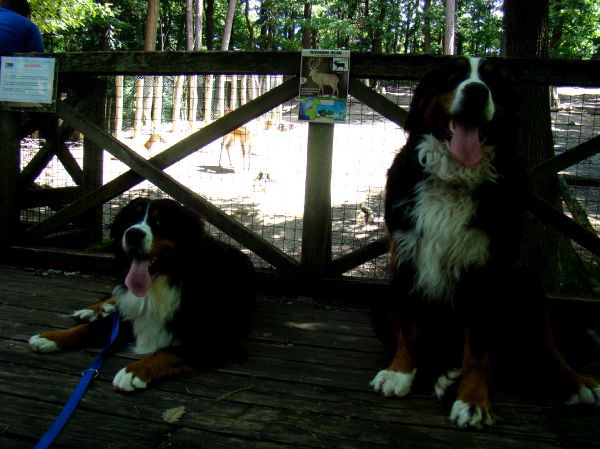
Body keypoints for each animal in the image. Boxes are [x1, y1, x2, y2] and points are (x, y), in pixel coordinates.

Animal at [29, 198, 254, 390]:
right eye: (130, 220)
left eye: (161, 221)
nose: (133, 234)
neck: (160, 285)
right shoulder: (132, 314)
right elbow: (92, 328)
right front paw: (51, 337)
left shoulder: (220, 340)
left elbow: (169, 351)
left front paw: (134, 372)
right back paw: (91, 310)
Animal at [370, 56, 600, 428]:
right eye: (453, 76)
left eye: (491, 81)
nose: (476, 92)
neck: (454, 177)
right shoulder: (406, 256)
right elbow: (409, 325)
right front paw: (399, 373)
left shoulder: (488, 271)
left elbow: (479, 346)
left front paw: (474, 400)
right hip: (382, 298)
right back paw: (446, 376)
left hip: (523, 283)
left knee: (543, 345)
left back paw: (576, 382)